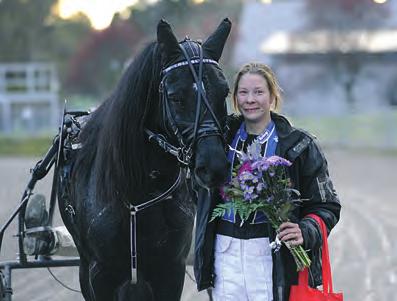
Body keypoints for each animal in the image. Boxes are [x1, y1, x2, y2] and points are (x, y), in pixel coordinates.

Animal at [59, 19, 232, 300]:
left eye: (224, 92)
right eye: (175, 96)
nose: (214, 166)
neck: (139, 191)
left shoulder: (170, 269)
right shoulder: (101, 273)